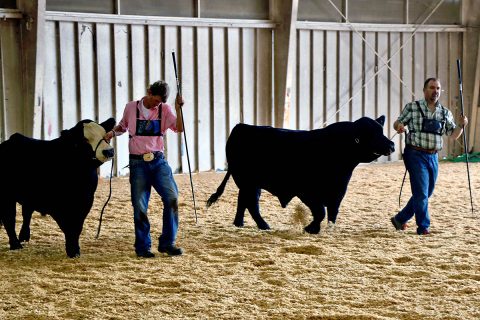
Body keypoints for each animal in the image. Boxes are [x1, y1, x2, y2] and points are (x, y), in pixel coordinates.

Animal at [0, 118, 115, 258]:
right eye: (84, 139)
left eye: (105, 134)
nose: (109, 151)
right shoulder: (56, 204)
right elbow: (68, 226)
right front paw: (72, 249)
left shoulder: (86, 200)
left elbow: (77, 226)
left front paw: (74, 249)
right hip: (7, 195)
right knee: (9, 218)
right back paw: (15, 244)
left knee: (26, 212)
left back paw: (24, 236)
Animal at [206, 116, 394, 234]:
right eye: (370, 134)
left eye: (381, 131)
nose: (391, 144)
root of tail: (241, 127)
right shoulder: (307, 192)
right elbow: (321, 212)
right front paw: (311, 229)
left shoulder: (338, 192)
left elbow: (332, 214)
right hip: (248, 182)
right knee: (251, 204)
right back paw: (264, 226)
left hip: (250, 184)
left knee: (243, 201)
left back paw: (240, 223)